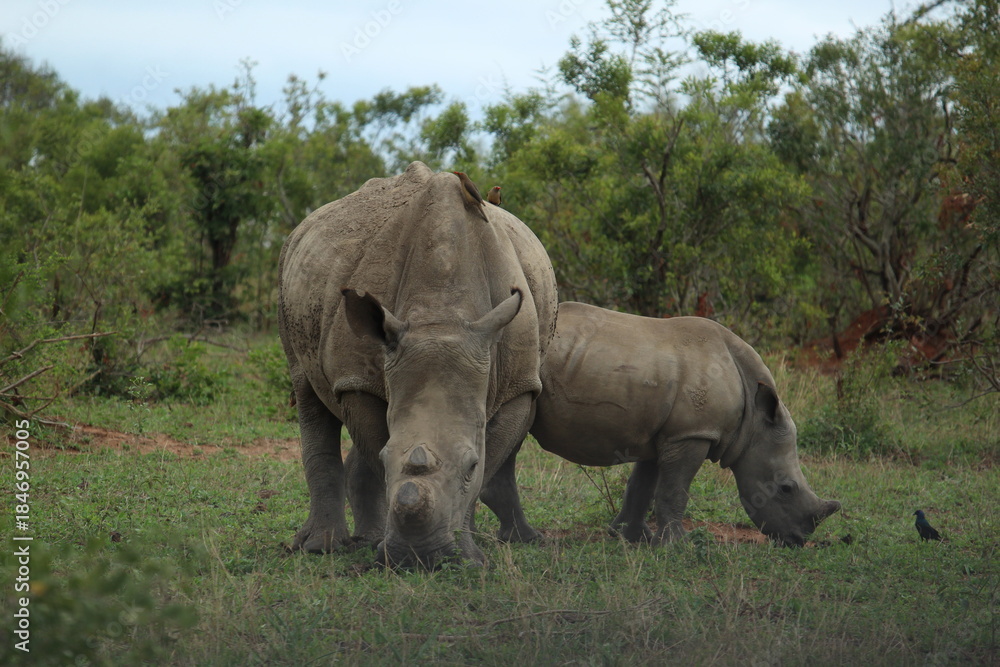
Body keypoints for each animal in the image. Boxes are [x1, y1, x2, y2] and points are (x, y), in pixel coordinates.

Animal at [278, 162, 557, 567]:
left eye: (470, 465)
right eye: (387, 457)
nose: (418, 557)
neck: (441, 318)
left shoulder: (517, 387)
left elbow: (488, 463)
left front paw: (467, 555)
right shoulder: (358, 378)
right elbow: (375, 444)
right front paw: (391, 550)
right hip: (289, 276)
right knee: (306, 388)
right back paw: (322, 547)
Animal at [528, 302, 840, 547]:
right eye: (786, 488)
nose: (798, 540)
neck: (753, 422)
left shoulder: (664, 432)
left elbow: (642, 485)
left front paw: (631, 537)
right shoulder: (692, 433)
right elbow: (674, 489)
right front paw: (676, 545)